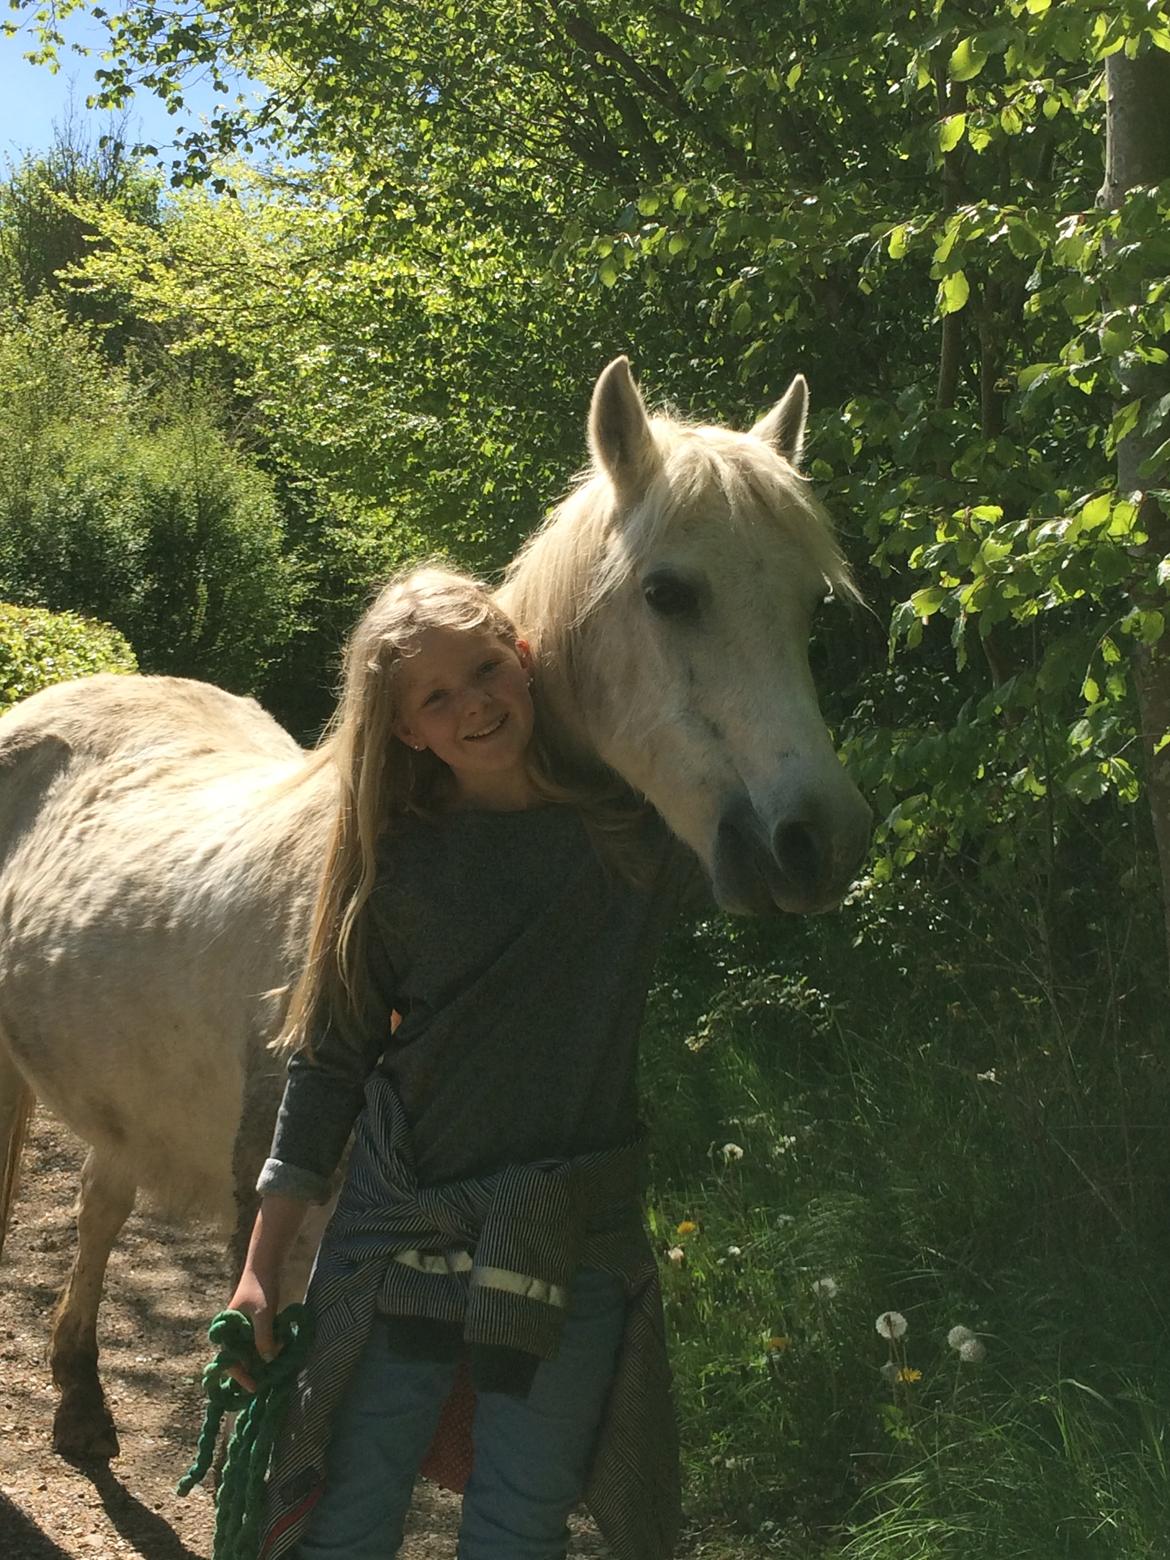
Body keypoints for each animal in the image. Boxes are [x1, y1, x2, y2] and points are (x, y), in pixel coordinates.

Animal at [0, 358, 873, 1453]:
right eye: (670, 593)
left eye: (806, 603)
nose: (820, 841)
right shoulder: (271, 1210)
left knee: (98, 1202)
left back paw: (80, 1396)